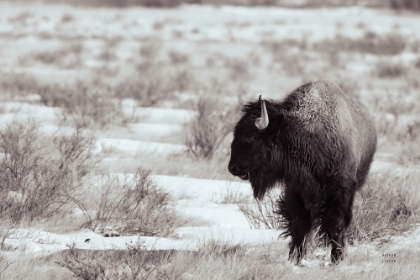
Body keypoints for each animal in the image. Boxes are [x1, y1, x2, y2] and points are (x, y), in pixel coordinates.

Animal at [230, 81, 378, 264]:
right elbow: (299, 225)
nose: (232, 168)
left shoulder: (341, 191)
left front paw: (336, 258)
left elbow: (335, 224)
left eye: (250, 138)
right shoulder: (296, 190)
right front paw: (295, 259)